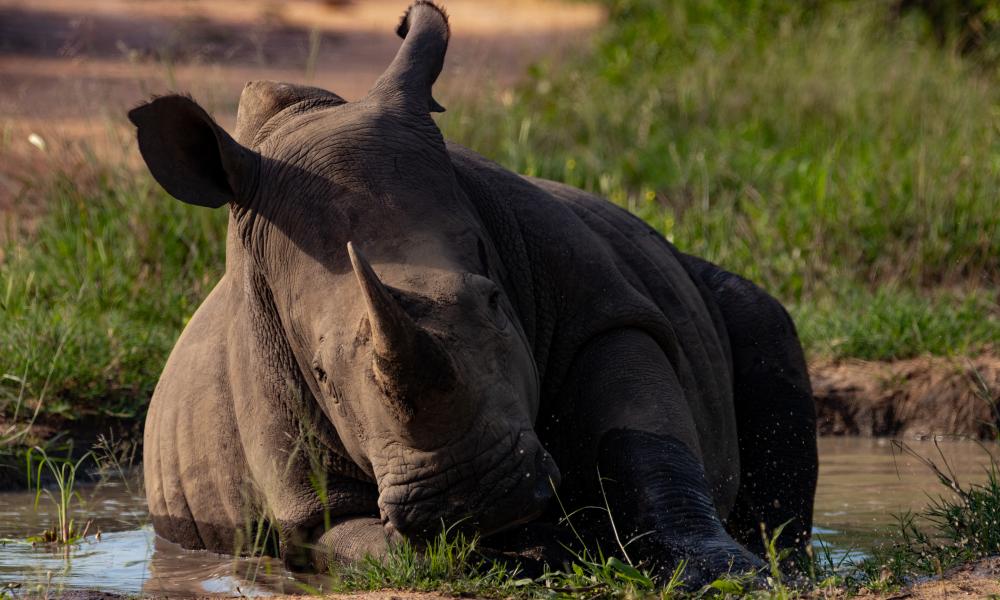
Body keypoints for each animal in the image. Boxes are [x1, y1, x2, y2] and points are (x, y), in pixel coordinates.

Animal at [129, 0, 816, 580]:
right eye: (320, 374)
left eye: (493, 300)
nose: (471, 494)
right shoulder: (296, 476)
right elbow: (358, 539)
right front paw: (520, 556)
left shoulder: (605, 309)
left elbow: (648, 442)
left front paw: (733, 574)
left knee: (760, 317)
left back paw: (785, 555)